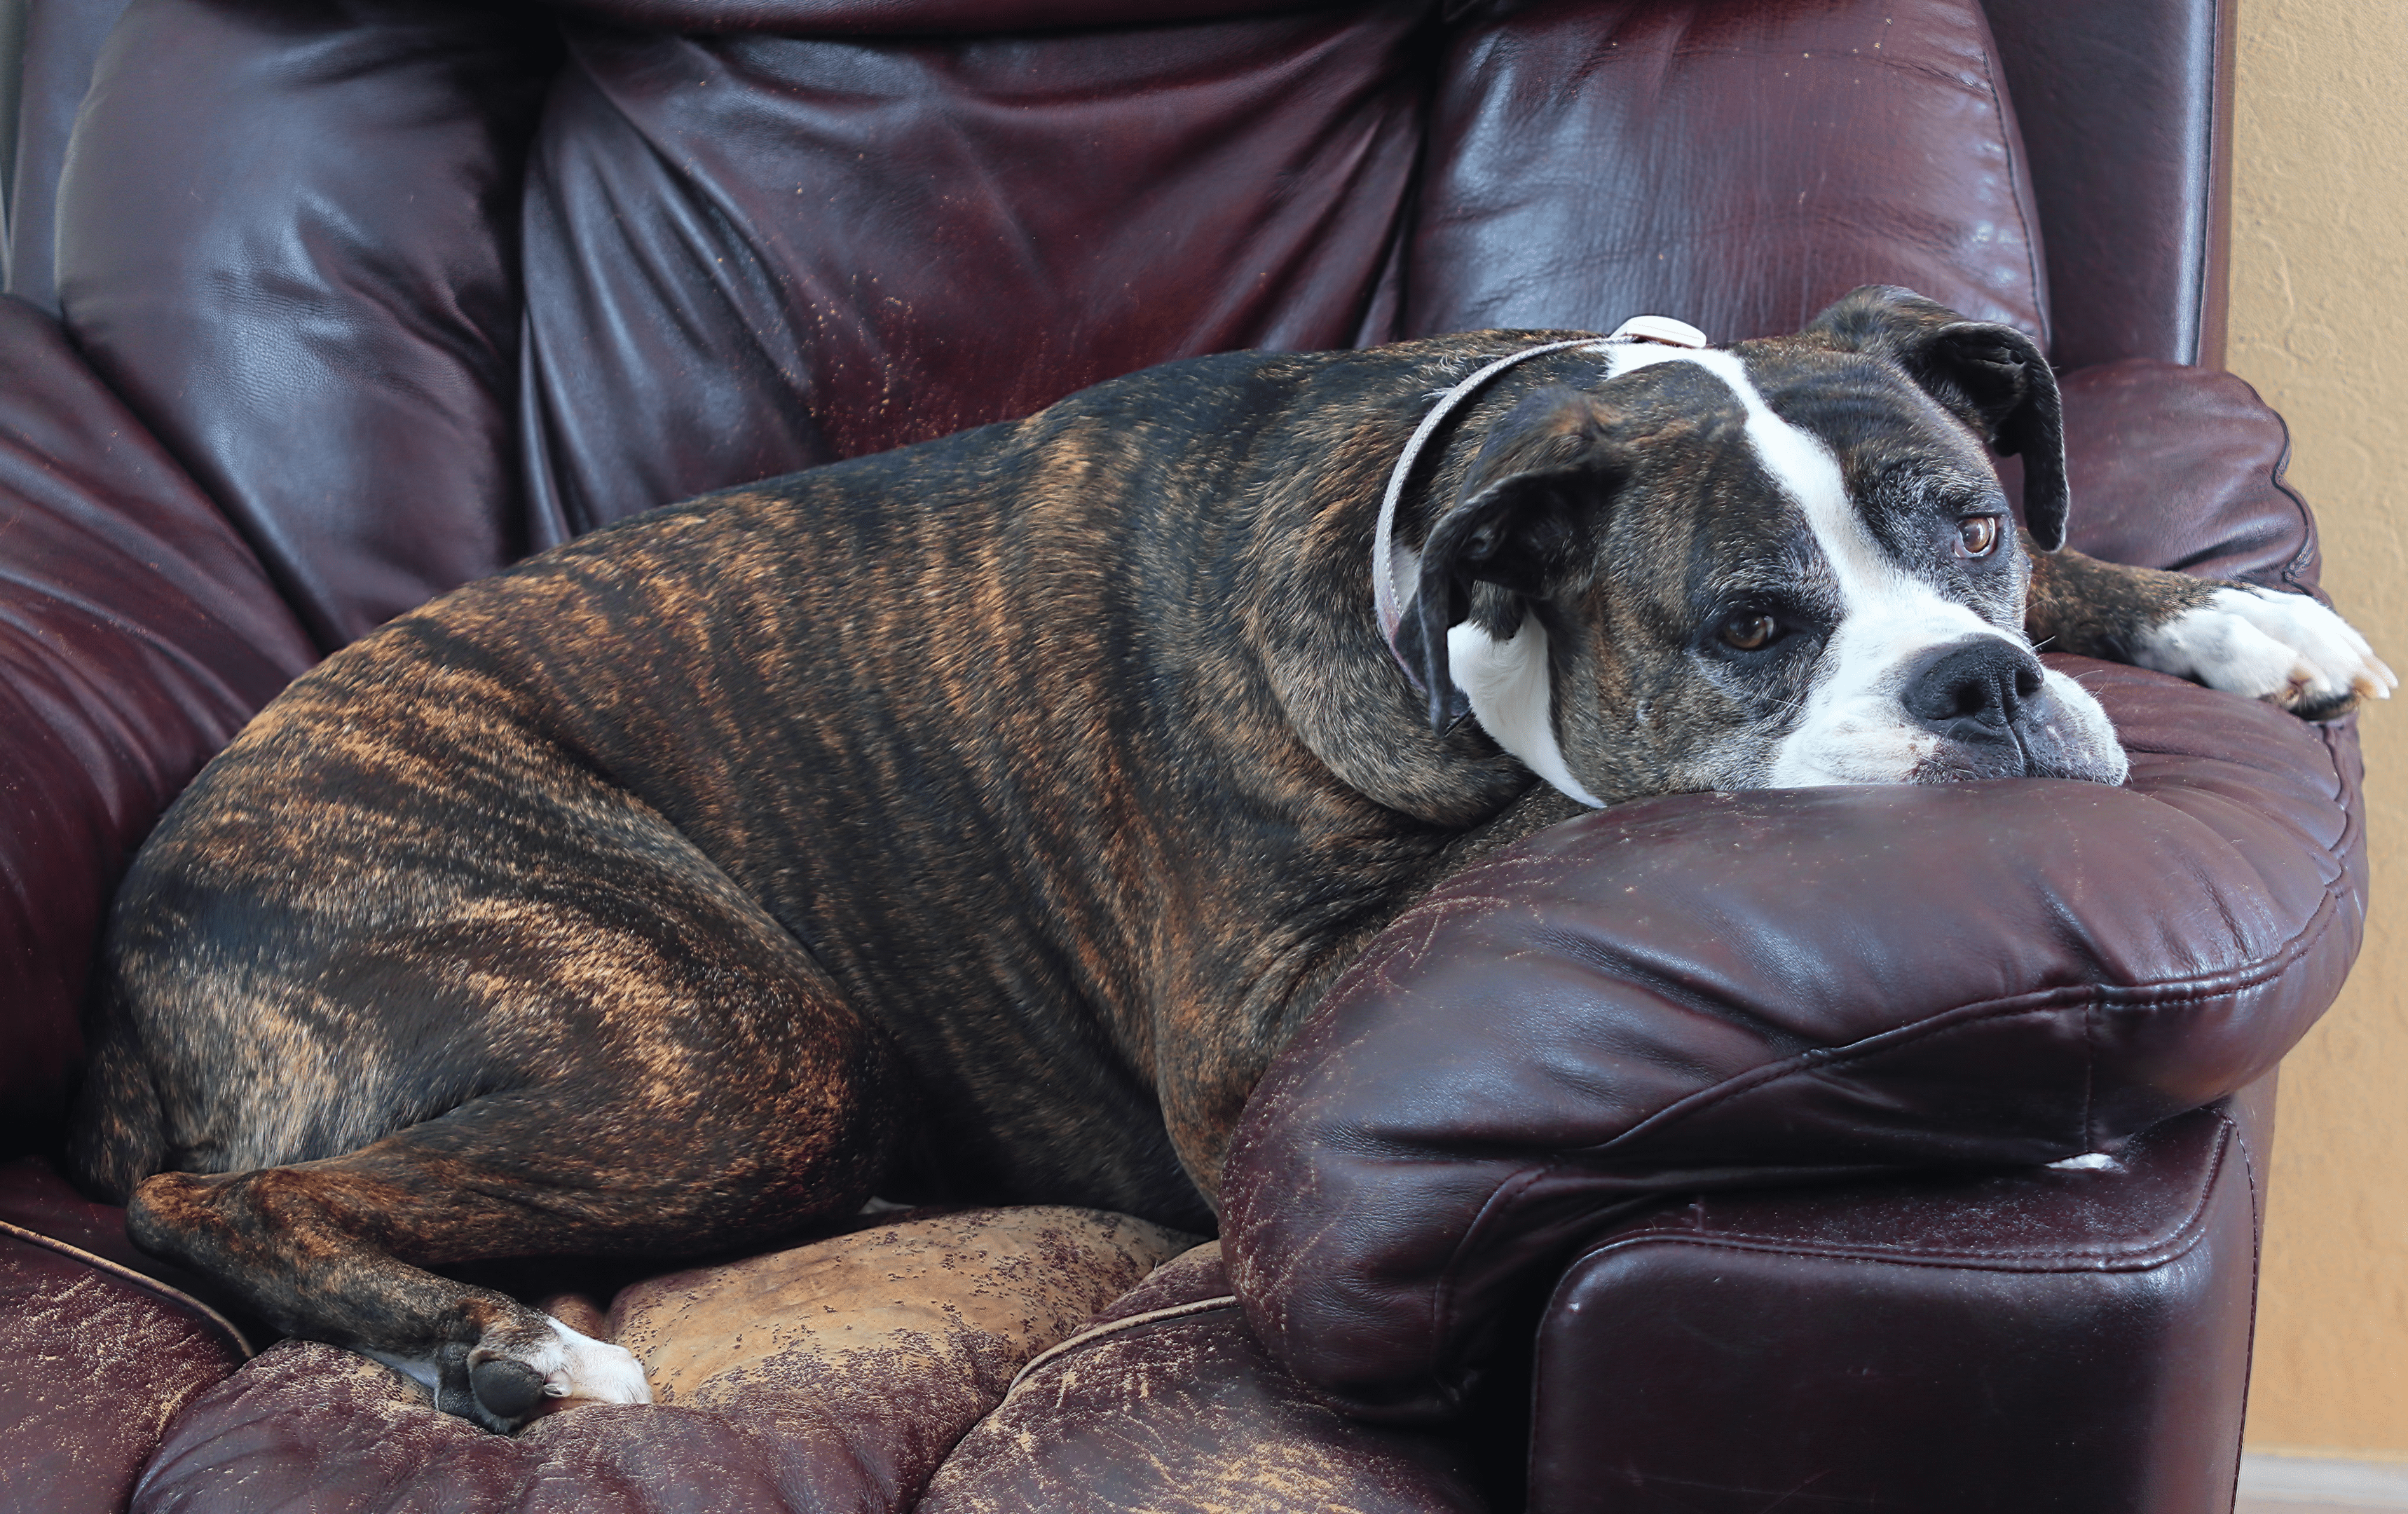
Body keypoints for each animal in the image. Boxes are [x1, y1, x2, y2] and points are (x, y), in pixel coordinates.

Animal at [70, 286, 2388, 1424]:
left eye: (1974, 524)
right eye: (1747, 629)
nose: (1972, 690)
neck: (1452, 556)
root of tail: (138, 945)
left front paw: (2218, 618)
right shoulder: (1255, 1037)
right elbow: (1565, 812)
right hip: (715, 1044)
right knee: (227, 1200)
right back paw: (500, 1349)